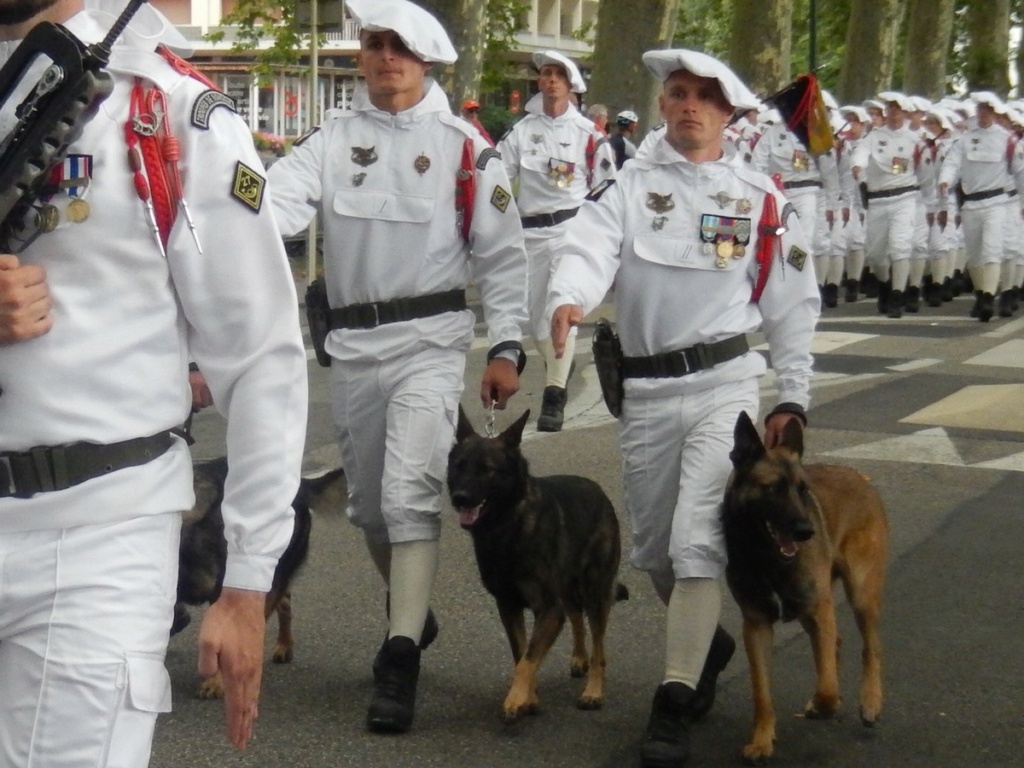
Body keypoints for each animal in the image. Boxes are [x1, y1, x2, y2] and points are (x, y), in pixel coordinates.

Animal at [446, 409, 626, 720]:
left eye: (486, 469)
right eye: (459, 466)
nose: (460, 498)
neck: (507, 525)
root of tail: (599, 491)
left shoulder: (548, 609)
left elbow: (527, 659)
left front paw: (516, 698)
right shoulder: (509, 606)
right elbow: (521, 653)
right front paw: (530, 697)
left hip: (596, 594)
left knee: (599, 648)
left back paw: (593, 690)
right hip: (568, 592)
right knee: (576, 618)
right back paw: (579, 657)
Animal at [720, 415, 888, 765]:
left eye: (802, 489)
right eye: (774, 488)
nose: (806, 531)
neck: (765, 556)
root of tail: (859, 476)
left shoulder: (818, 610)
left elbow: (828, 688)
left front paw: (827, 705)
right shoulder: (756, 626)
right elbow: (762, 693)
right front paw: (762, 740)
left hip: (860, 597)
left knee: (871, 648)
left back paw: (870, 702)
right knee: (836, 644)